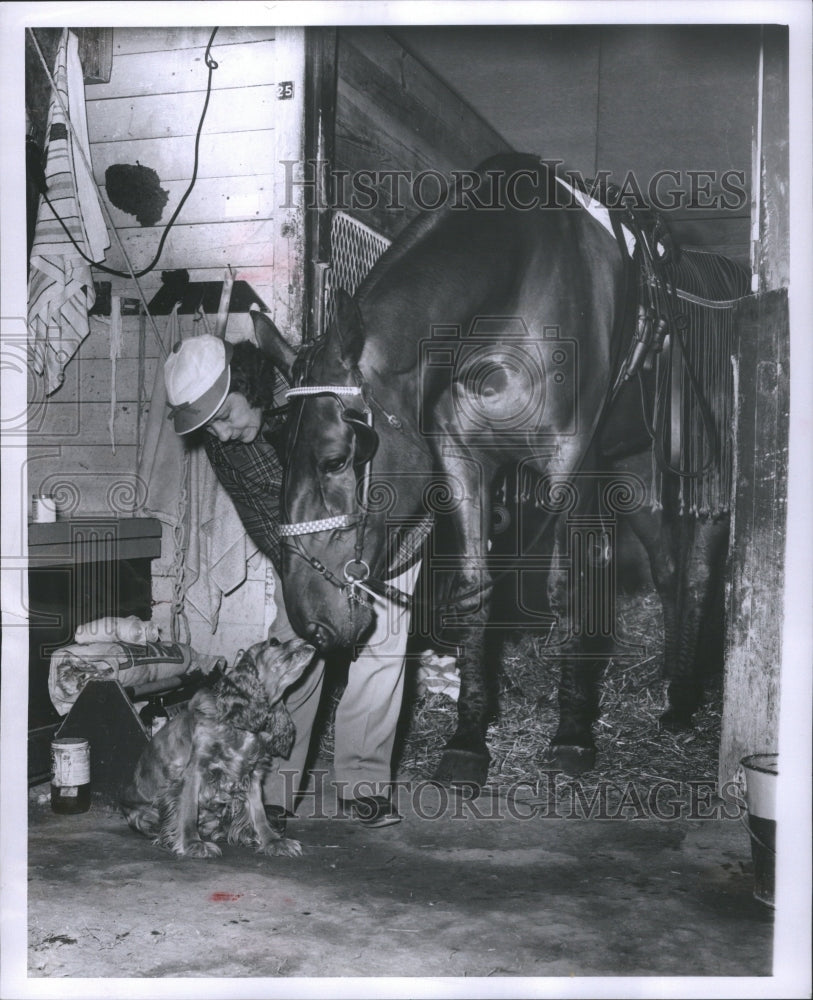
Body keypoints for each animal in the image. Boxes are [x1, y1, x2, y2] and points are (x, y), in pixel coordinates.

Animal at [254, 154, 748, 788]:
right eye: (274, 444)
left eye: (337, 458)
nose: (308, 619)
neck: (513, 296)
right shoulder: (464, 461)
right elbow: (474, 592)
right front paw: (467, 741)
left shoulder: (573, 464)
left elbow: (570, 592)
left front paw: (571, 735)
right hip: (635, 468)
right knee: (665, 566)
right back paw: (669, 679)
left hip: (702, 465)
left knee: (699, 569)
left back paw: (683, 700)